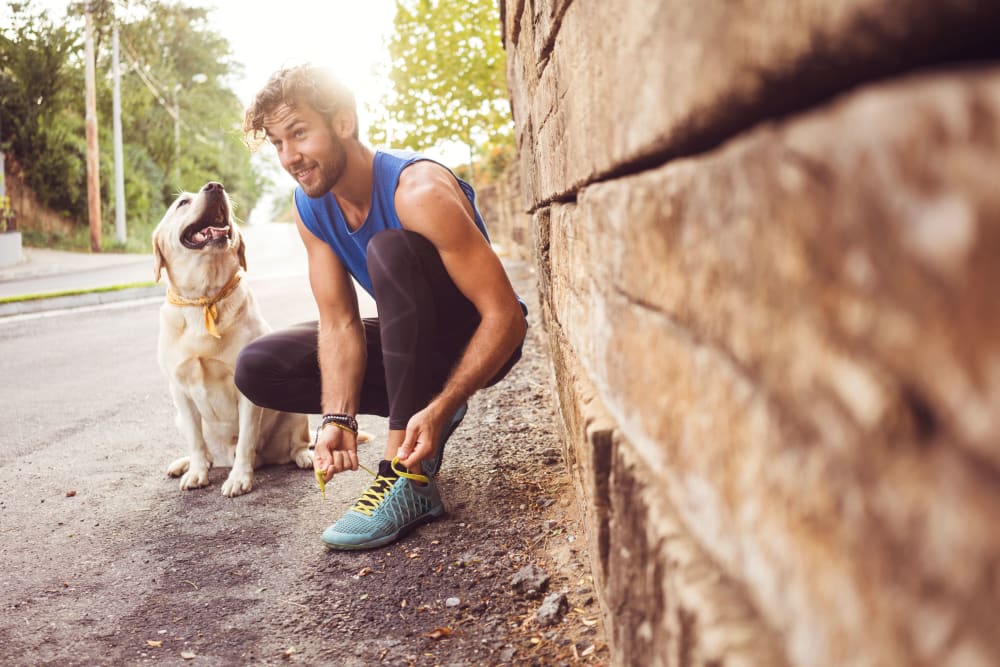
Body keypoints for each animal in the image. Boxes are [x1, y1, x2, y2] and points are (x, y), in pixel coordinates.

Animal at [152, 181, 312, 496]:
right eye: (182, 203)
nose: (215, 186)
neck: (204, 297)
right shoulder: (179, 390)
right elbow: (196, 440)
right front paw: (197, 472)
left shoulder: (246, 391)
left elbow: (246, 439)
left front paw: (239, 478)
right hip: (179, 417)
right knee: (206, 450)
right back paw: (185, 464)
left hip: (294, 411)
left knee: (298, 443)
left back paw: (305, 457)